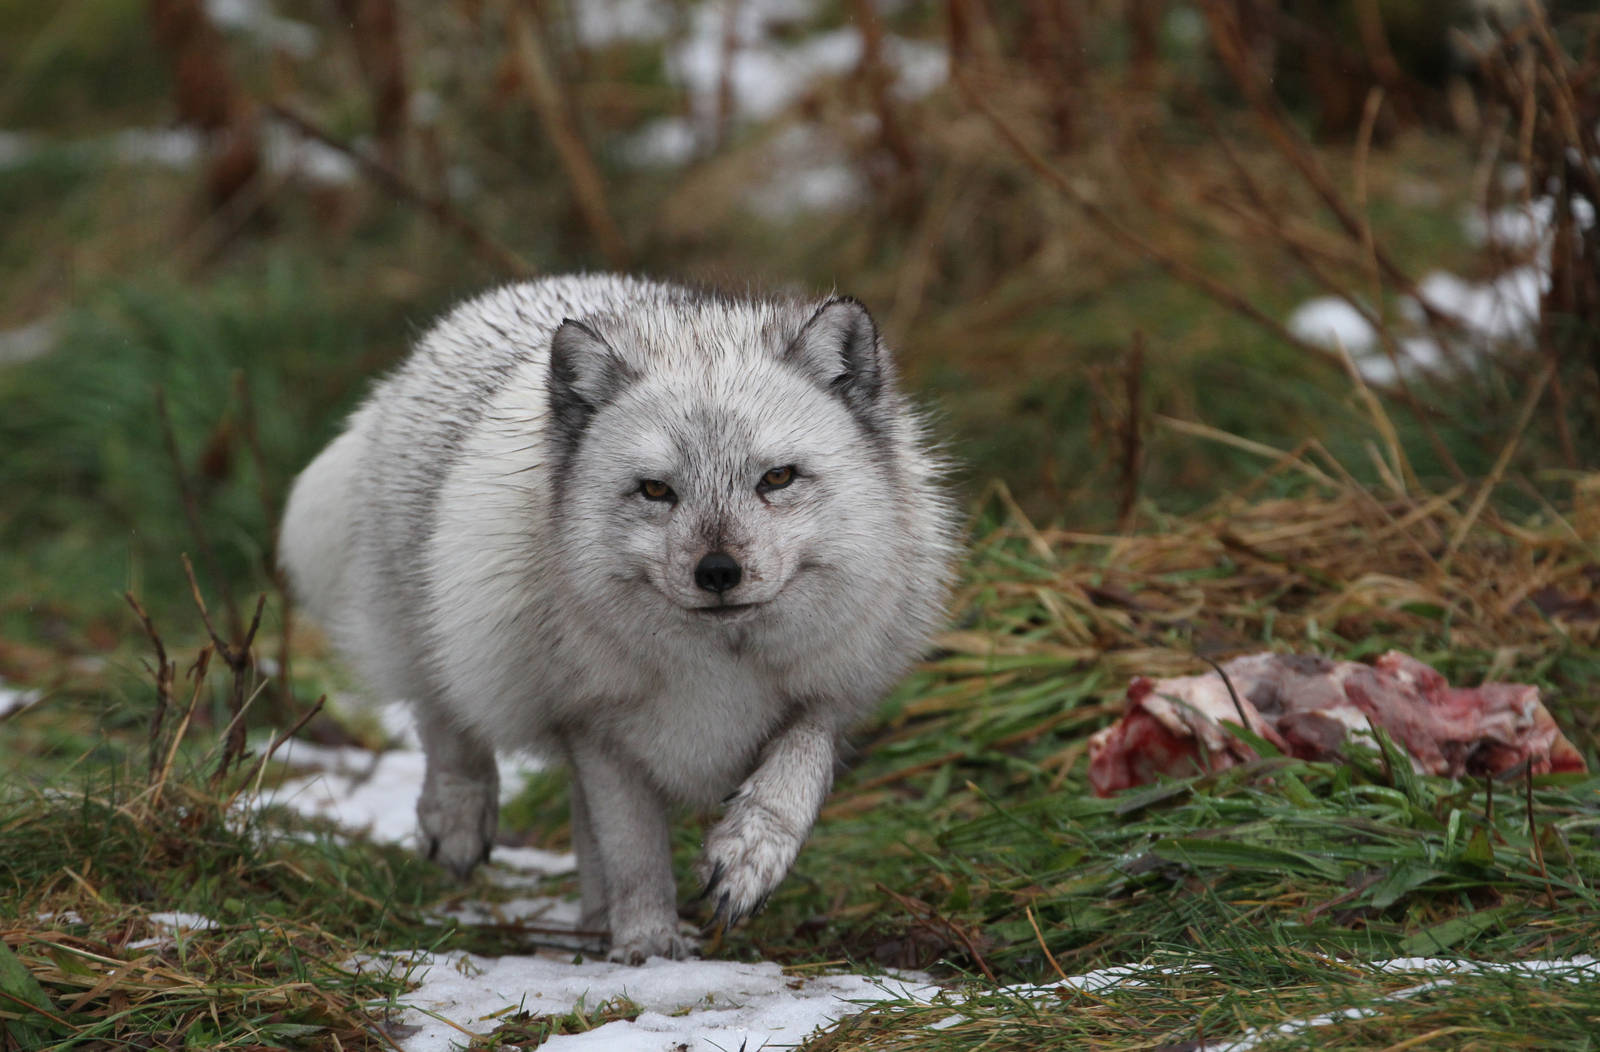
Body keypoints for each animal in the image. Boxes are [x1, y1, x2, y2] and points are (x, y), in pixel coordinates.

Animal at [278, 274, 959, 963]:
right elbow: (635, 855)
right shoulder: (597, 731)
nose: (718, 572)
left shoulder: (830, 692)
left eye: (777, 478)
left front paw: (748, 858)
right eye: (656, 490)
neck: (718, 667)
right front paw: (650, 946)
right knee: (444, 718)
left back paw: (591, 919)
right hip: (437, 632)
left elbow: (796, 773)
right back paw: (462, 821)